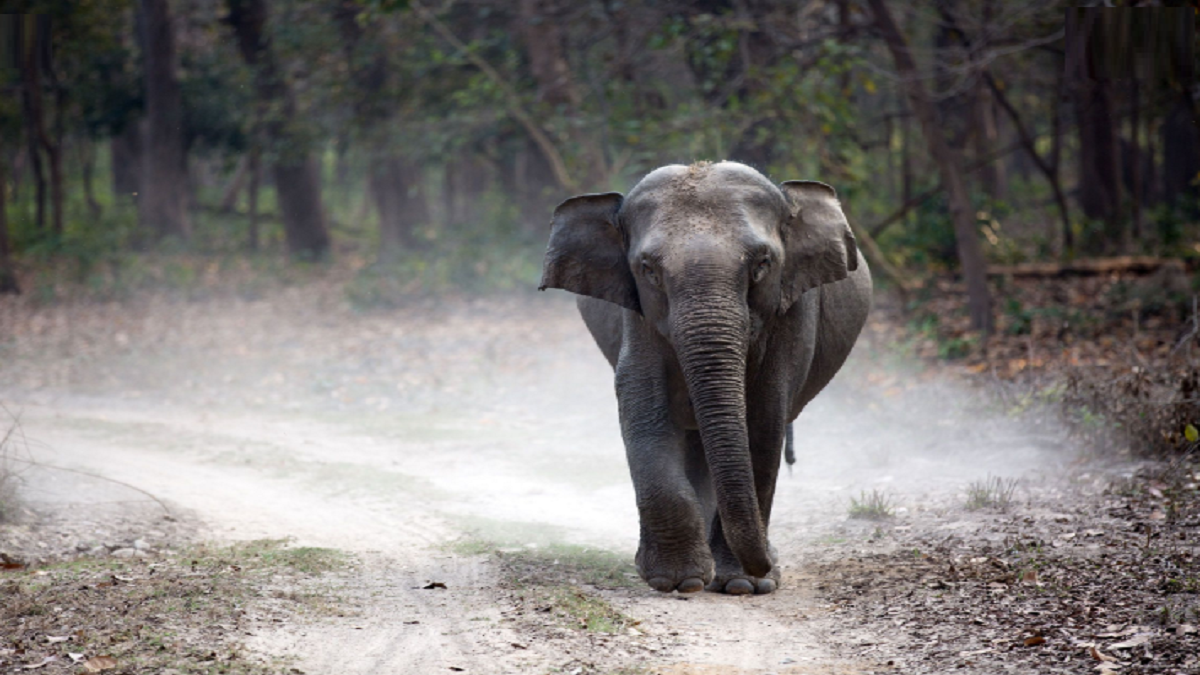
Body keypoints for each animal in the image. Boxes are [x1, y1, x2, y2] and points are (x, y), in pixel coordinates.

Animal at [540, 159, 868, 590]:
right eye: (648, 270)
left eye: (762, 264)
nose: (767, 564)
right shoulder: (637, 314)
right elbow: (643, 405)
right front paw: (677, 581)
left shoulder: (793, 311)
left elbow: (764, 419)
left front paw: (742, 585)